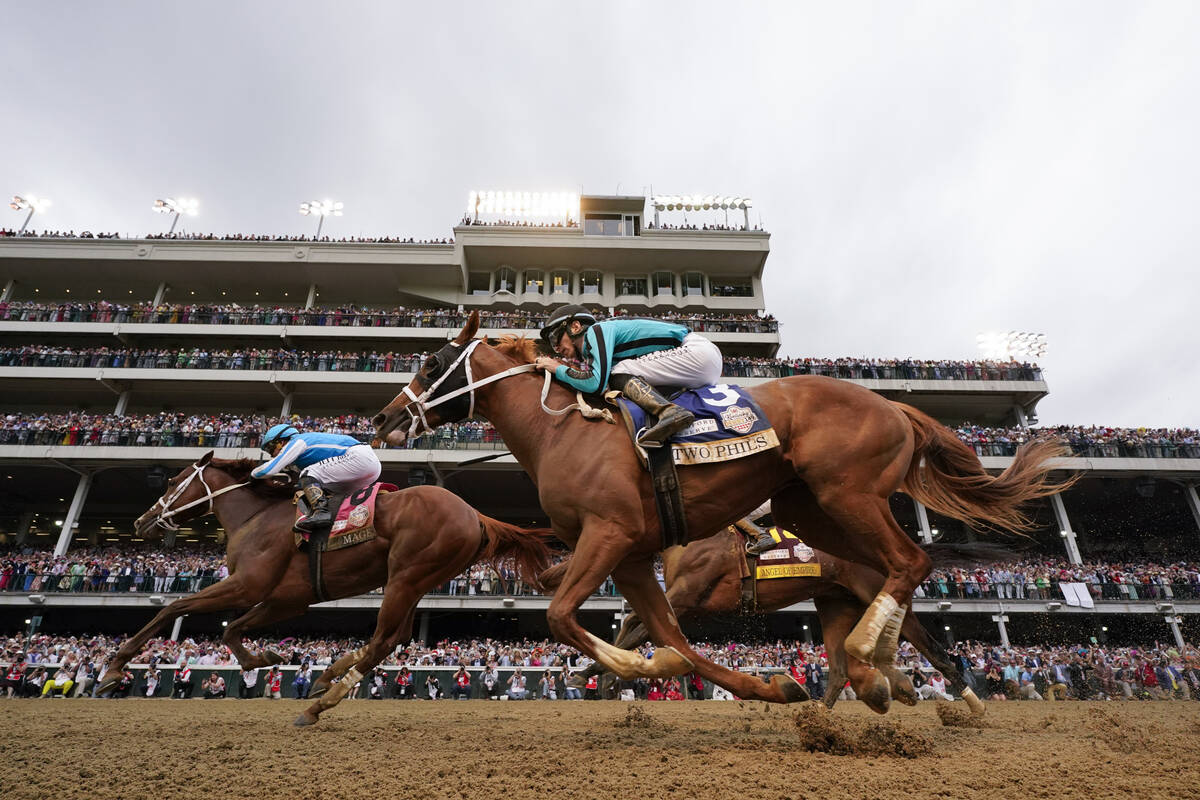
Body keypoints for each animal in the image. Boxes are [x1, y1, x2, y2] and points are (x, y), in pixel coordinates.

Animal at [98, 453, 549, 729]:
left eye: (174, 481)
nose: (141, 522)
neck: (257, 517)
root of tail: (473, 513)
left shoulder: (247, 584)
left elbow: (172, 608)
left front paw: (115, 668)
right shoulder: (287, 599)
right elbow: (232, 630)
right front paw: (265, 657)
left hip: (407, 576)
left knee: (384, 640)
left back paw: (319, 704)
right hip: (414, 580)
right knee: (395, 637)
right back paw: (326, 678)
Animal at [540, 532, 998, 714]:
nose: (553, 568)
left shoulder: (686, 597)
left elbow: (637, 631)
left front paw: (591, 673)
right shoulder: (679, 600)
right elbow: (634, 628)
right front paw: (602, 678)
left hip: (873, 593)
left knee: (936, 650)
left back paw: (971, 703)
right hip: (834, 602)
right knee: (837, 667)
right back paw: (822, 710)